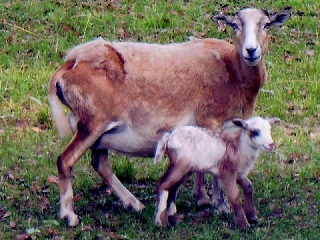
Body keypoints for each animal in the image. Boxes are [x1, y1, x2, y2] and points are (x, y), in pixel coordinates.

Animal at [48, 7, 292, 225]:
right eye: (235, 25)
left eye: (266, 25)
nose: (251, 51)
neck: (233, 71)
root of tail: (69, 64)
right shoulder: (210, 120)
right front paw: (213, 202)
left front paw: (200, 200)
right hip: (92, 123)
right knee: (65, 160)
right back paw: (69, 216)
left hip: (102, 130)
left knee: (99, 163)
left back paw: (134, 203)